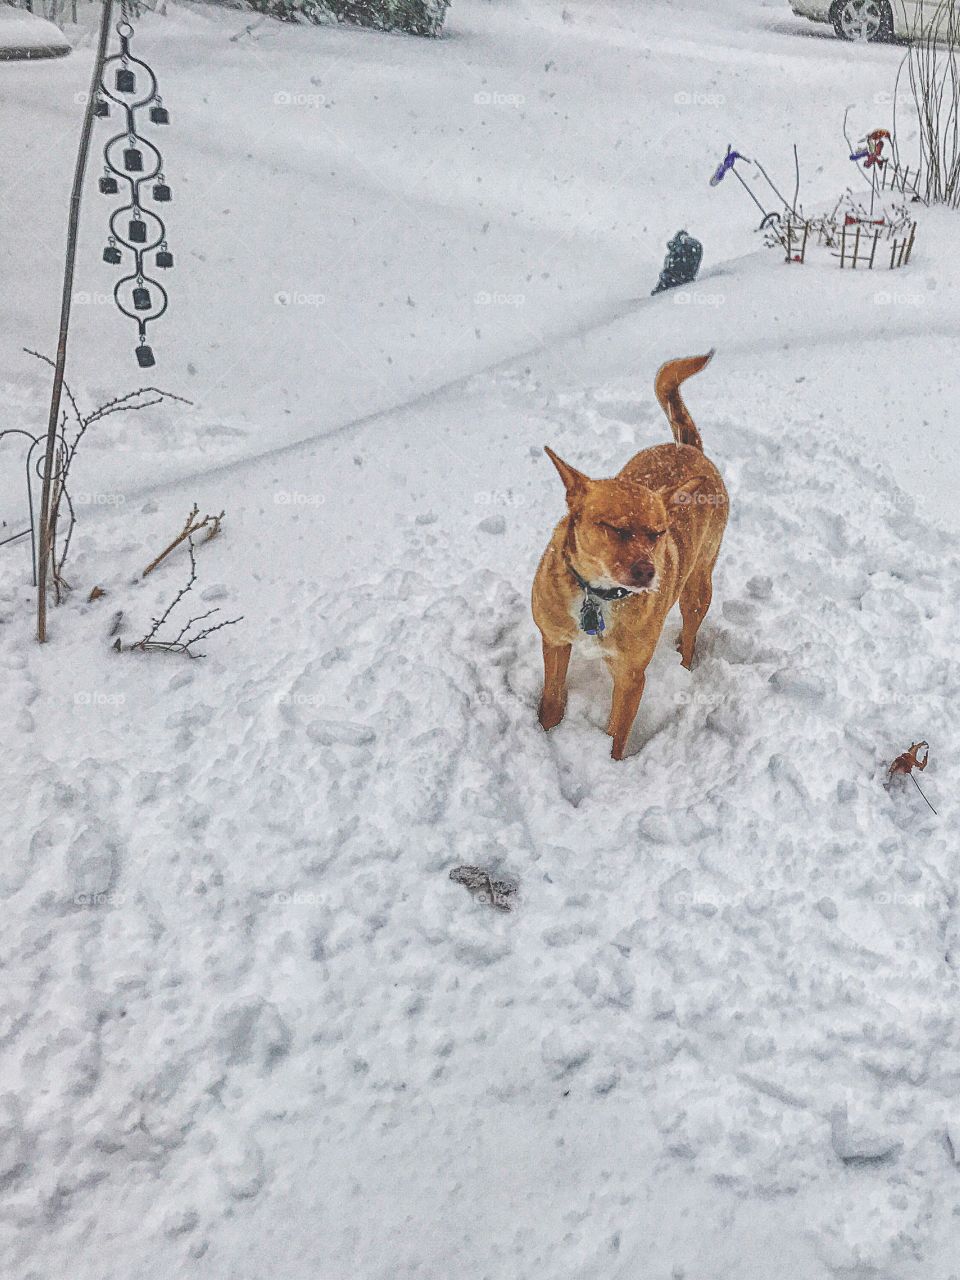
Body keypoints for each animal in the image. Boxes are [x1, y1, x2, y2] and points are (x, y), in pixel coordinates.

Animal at [535, 350, 727, 757]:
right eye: (616, 528)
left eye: (658, 533)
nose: (648, 572)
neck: (597, 595)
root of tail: (689, 447)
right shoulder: (555, 642)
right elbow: (552, 699)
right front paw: (543, 731)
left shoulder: (630, 676)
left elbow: (616, 736)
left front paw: (608, 766)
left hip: (697, 586)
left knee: (691, 636)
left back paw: (684, 658)